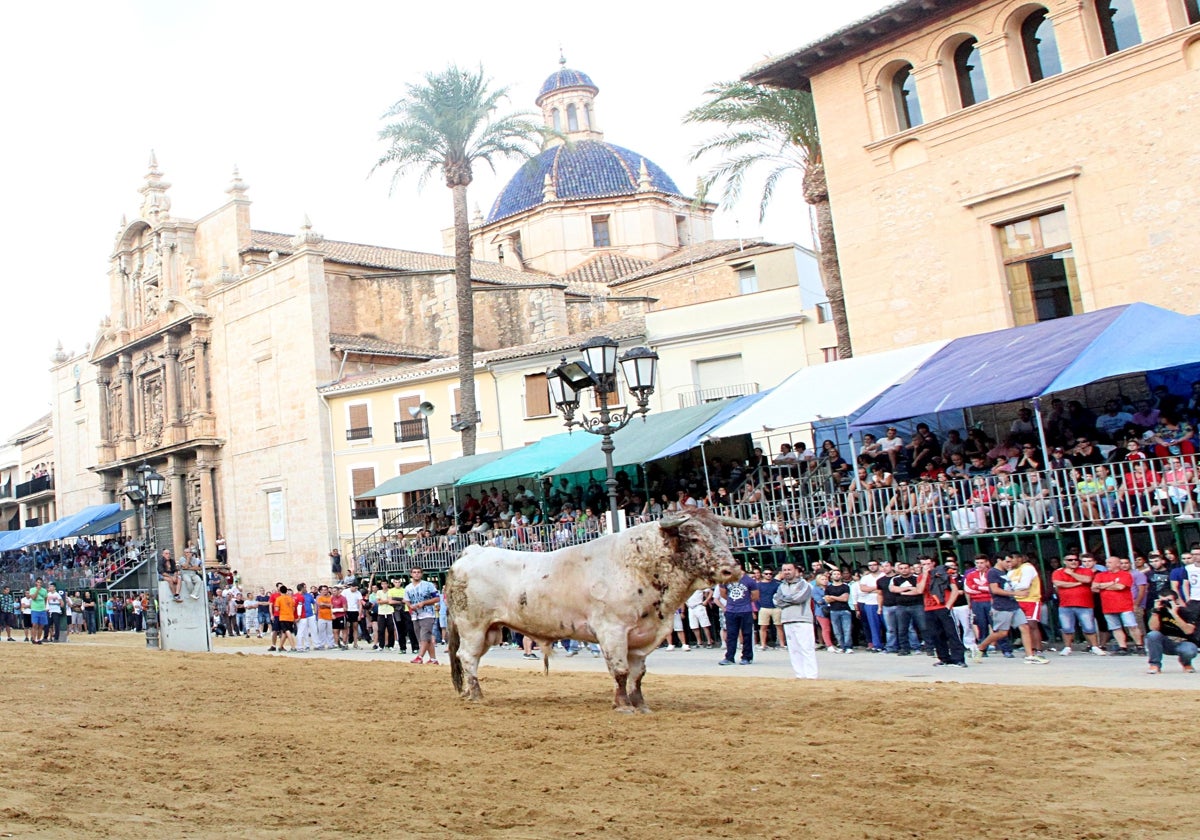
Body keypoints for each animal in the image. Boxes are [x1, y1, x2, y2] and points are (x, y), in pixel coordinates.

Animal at [441, 508, 758, 710]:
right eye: (694, 537)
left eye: (725, 535)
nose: (732, 570)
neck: (640, 565)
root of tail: (472, 551)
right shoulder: (612, 631)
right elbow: (619, 670)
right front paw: (622, 705)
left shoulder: (643, 636)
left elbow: (638, 673)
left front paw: (640, 704)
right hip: (473, 626)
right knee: (466, 657)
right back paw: (476, 695)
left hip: (491, 630)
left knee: (470, 658)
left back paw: (469, 693)